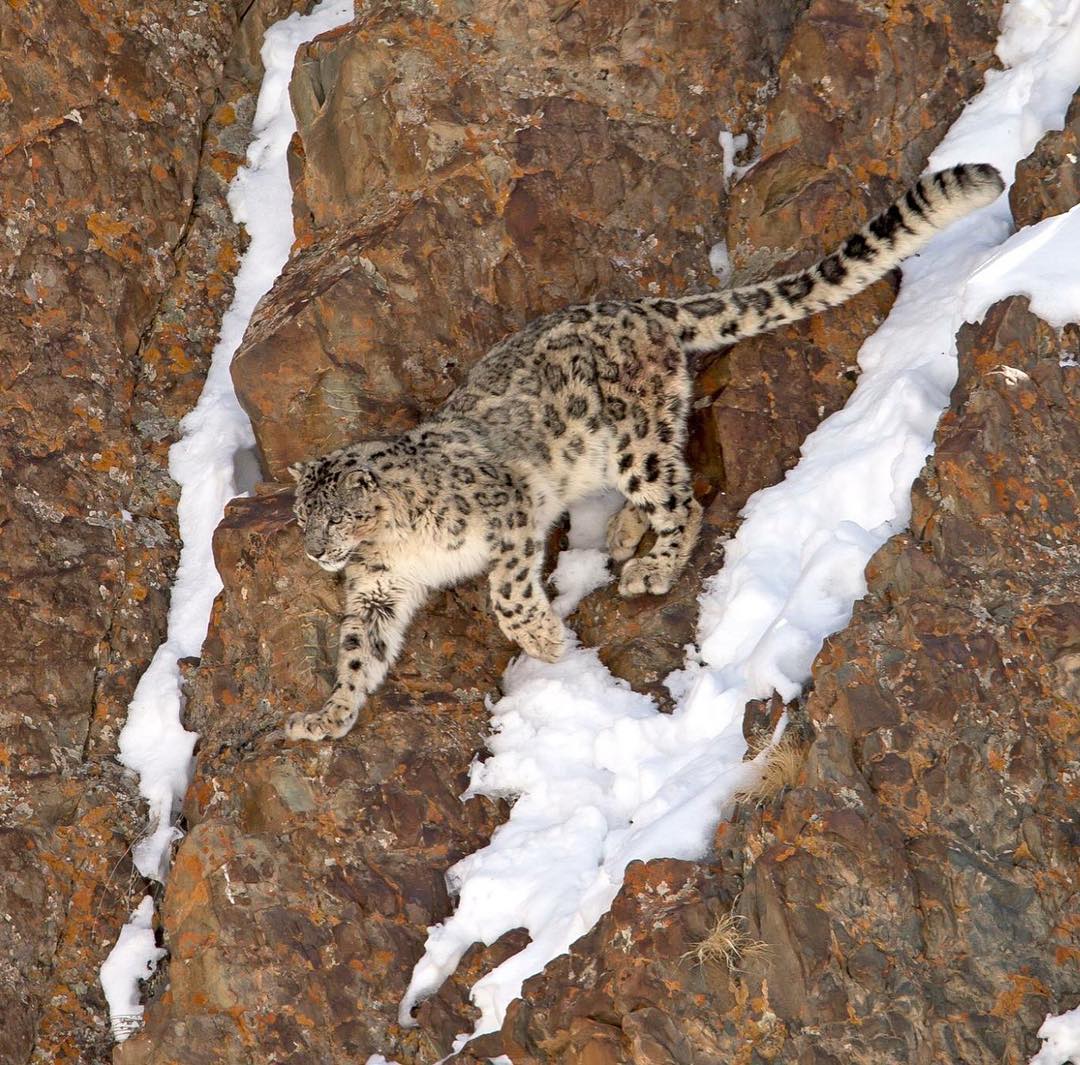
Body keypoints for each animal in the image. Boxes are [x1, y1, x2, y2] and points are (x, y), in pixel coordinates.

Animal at [285, 162, 1002, 738]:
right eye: (302, 517)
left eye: (338, 515)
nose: (316, 552)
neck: (395, 546)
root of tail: (647, 308)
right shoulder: (378, 589)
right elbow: (358, 651)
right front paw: (326, 717)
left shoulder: (507, 508)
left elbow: (508, 594)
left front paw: (544, 640)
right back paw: (626, 533)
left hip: (633, 440)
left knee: (683, 496)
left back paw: (651, 567)